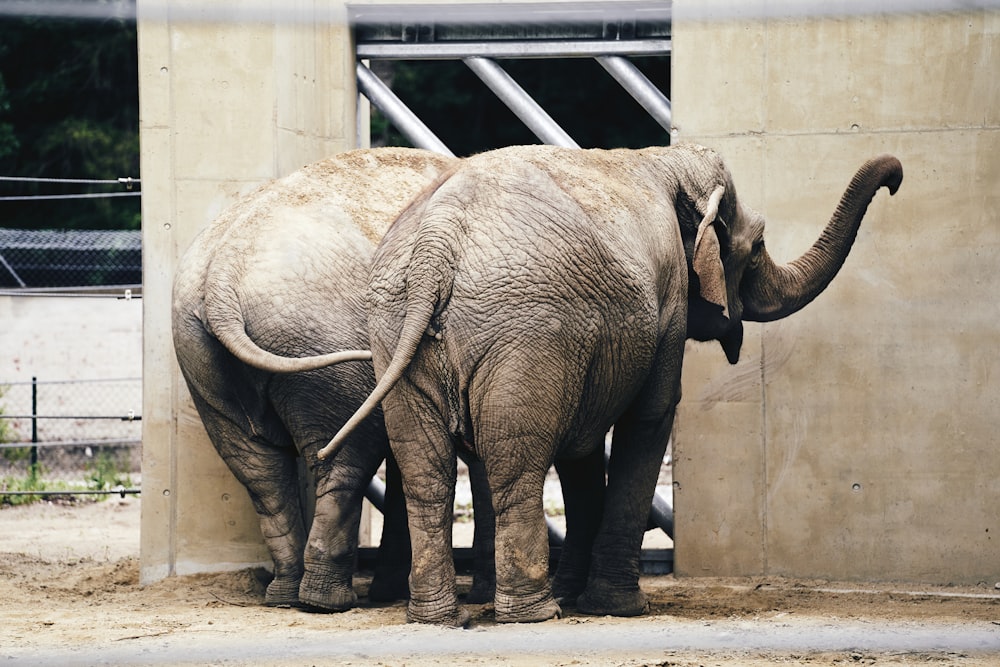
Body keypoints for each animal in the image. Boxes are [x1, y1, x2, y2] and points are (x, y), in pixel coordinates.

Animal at [172, 146, 472, 612]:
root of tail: (222, 275)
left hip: (201, 357)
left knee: (258, 470)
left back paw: (285, 595)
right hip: (321, 342)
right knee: (344, 457)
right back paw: (327, 601)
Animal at [322, 142, 908, 628]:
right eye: (759, 242)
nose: (896, 177)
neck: (666, 160)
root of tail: (434, 249)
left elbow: (580, 446)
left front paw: (580, 595)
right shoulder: (668, 300)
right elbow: (650, 417)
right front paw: (619, 607)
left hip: (397, 329)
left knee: (427, 473)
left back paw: (440, 618)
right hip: (525, 334)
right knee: (514, 465)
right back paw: (534, 614)